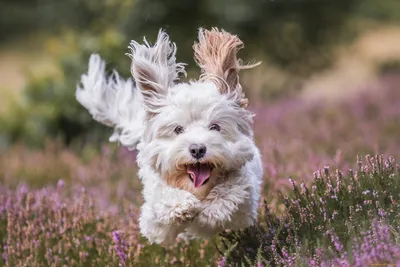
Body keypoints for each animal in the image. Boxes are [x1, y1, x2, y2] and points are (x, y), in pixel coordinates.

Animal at [76, 28, 264, 246]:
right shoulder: (151, 221)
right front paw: (181, 205)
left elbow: (233, 191)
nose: (197, 149)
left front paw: (213, 208)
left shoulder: (246, 201)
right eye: (178, 129)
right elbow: (162, 203)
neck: (198, 191)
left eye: (215, 127)